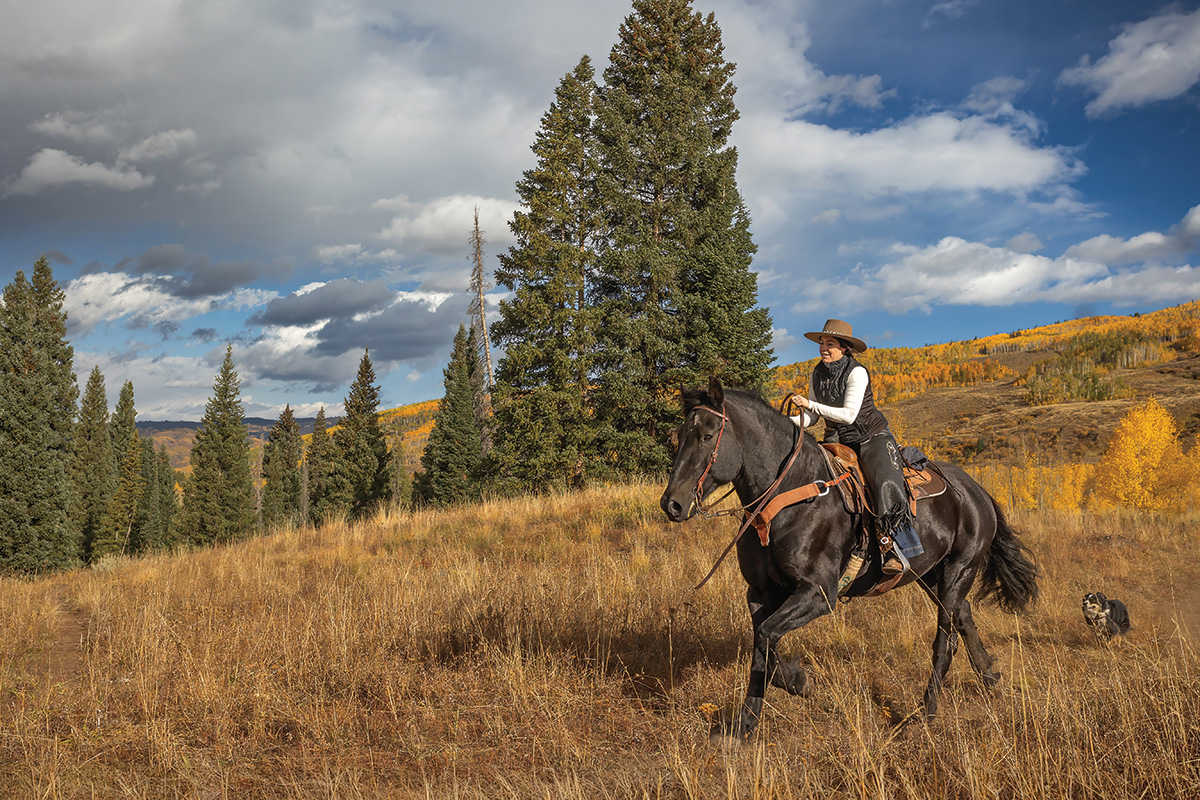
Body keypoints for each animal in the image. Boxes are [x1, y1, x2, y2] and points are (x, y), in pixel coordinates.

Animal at [659, 377, 1039, 739]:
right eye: (679, 436)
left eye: (708, 436)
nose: (672, 504)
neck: (790, 496)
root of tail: (976, 490)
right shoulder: (760, 593)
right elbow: (762, 644)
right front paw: (750, 719)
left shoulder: (819, 593)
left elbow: (767, 636)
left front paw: (791, 686)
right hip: (933, 577)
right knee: (964, 617)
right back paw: (989, 677)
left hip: (959, 571)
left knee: (944, 641)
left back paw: (926, 713)